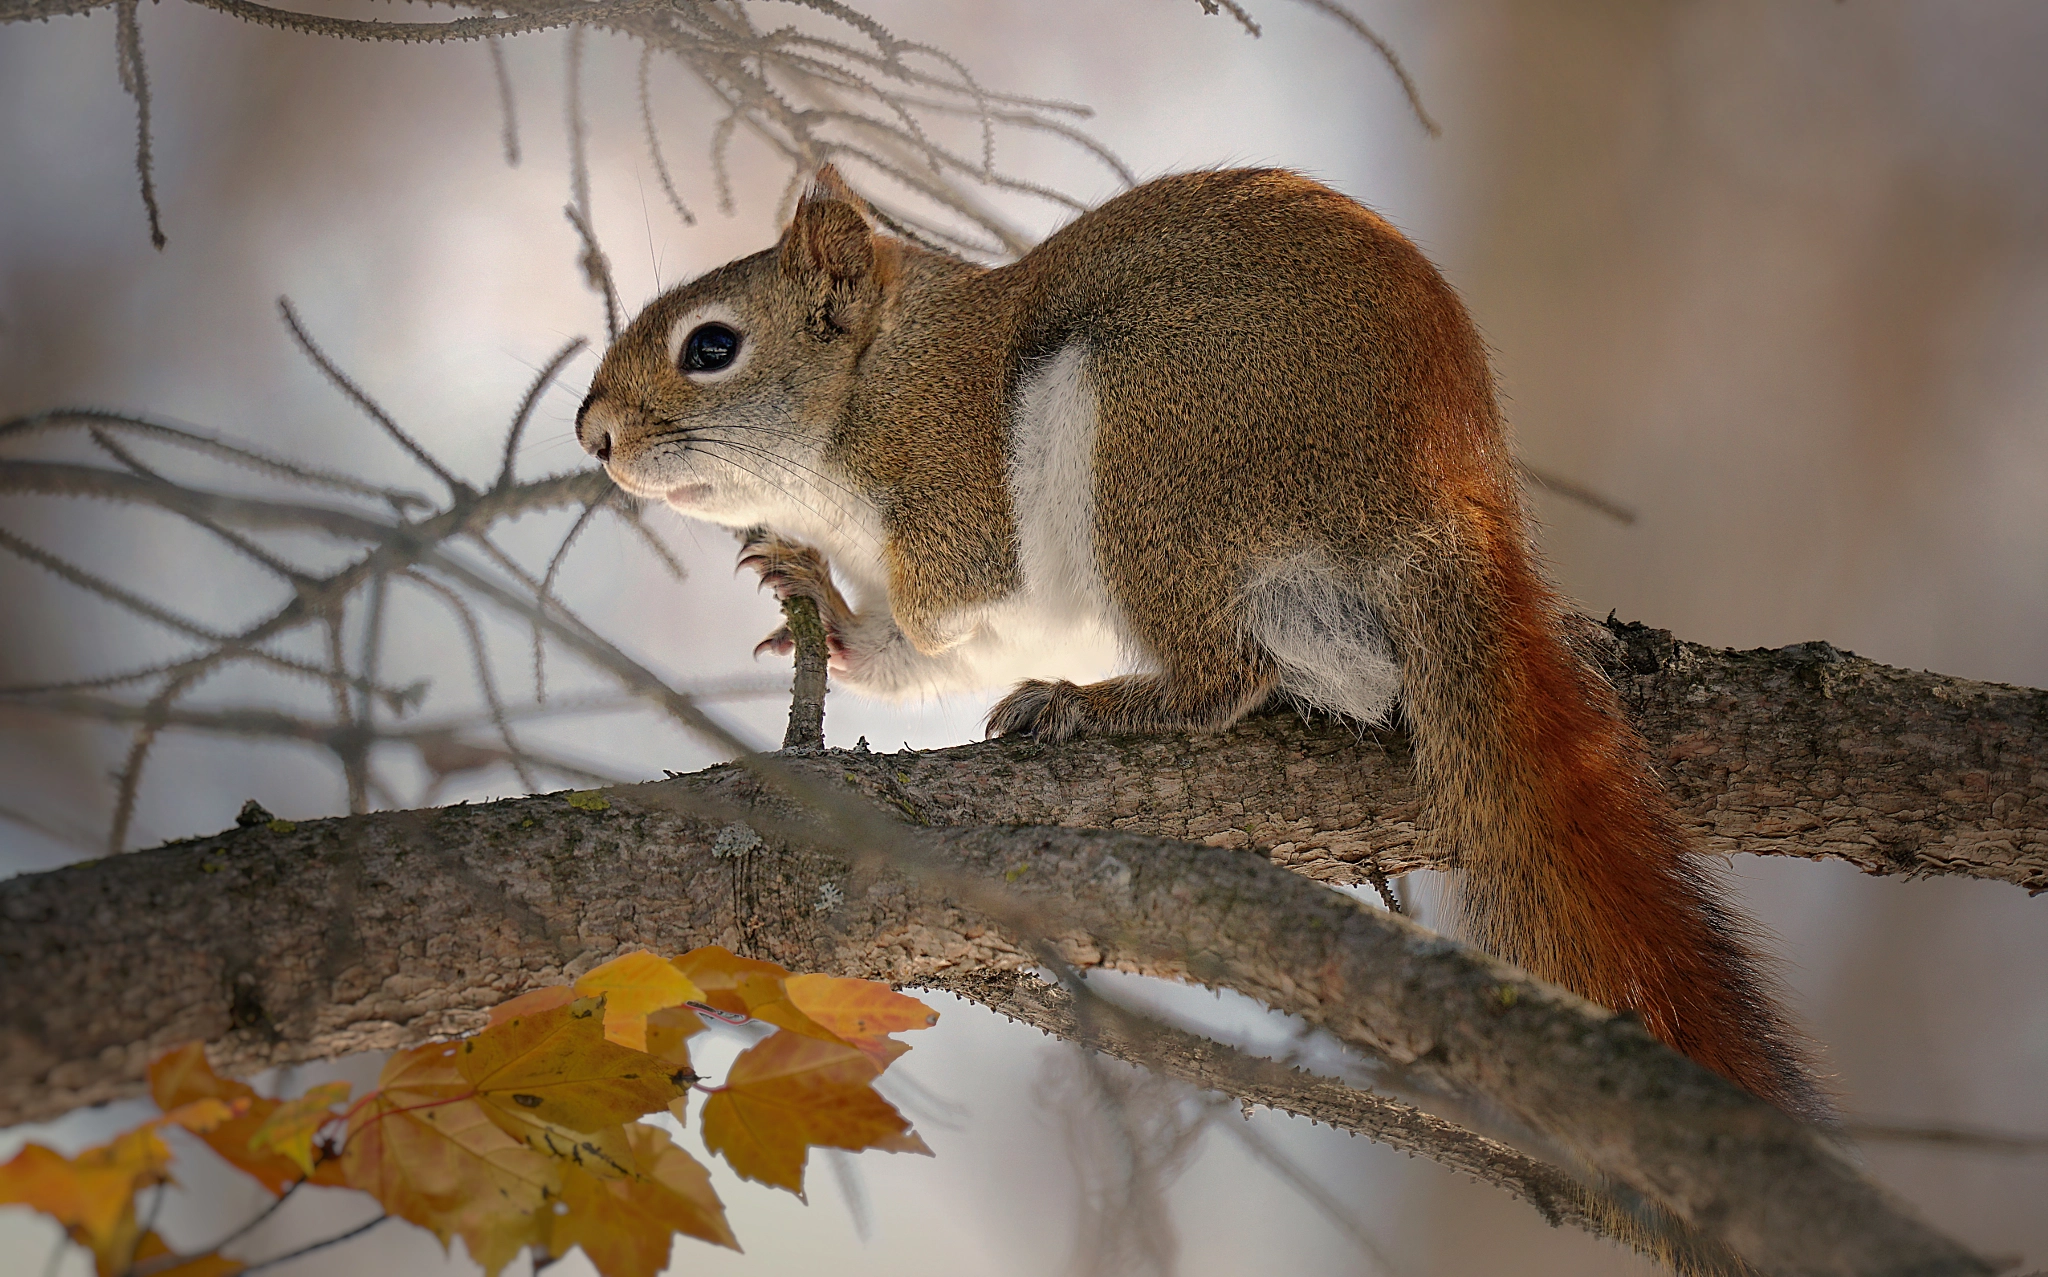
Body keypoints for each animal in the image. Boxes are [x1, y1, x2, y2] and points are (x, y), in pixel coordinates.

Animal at [577, 164, 1826, 1113]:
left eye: (711, 347)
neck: (874, 375)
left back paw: (1097, 701)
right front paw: (820, 607)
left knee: (1225, 670)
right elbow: (926, 655)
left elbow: (948, 598)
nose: (591, 434)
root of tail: (1442, 482)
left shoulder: (952, 493)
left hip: (1149, 448)